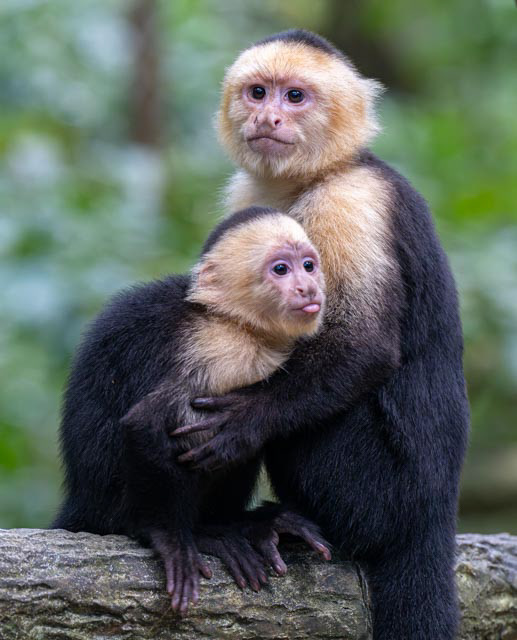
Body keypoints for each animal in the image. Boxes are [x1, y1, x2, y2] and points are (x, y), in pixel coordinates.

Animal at [52, 205, 331, 615]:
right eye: (281, 269)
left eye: (309, 266)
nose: (308, 289)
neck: (233, 321)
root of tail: (83, 503)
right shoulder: (215, 350)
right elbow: (144, 422)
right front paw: (167, 537)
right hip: (113, 507)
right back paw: (200, 533)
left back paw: (240, 524)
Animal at [173, 30, 469, 639]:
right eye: (257, 92)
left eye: (295, 97)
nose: (267, 116)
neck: (316, 175)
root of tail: (434, 514)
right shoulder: (251, 199)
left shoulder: (351, 204)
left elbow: (362, 346)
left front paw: (246, 420)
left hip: (377, 495)